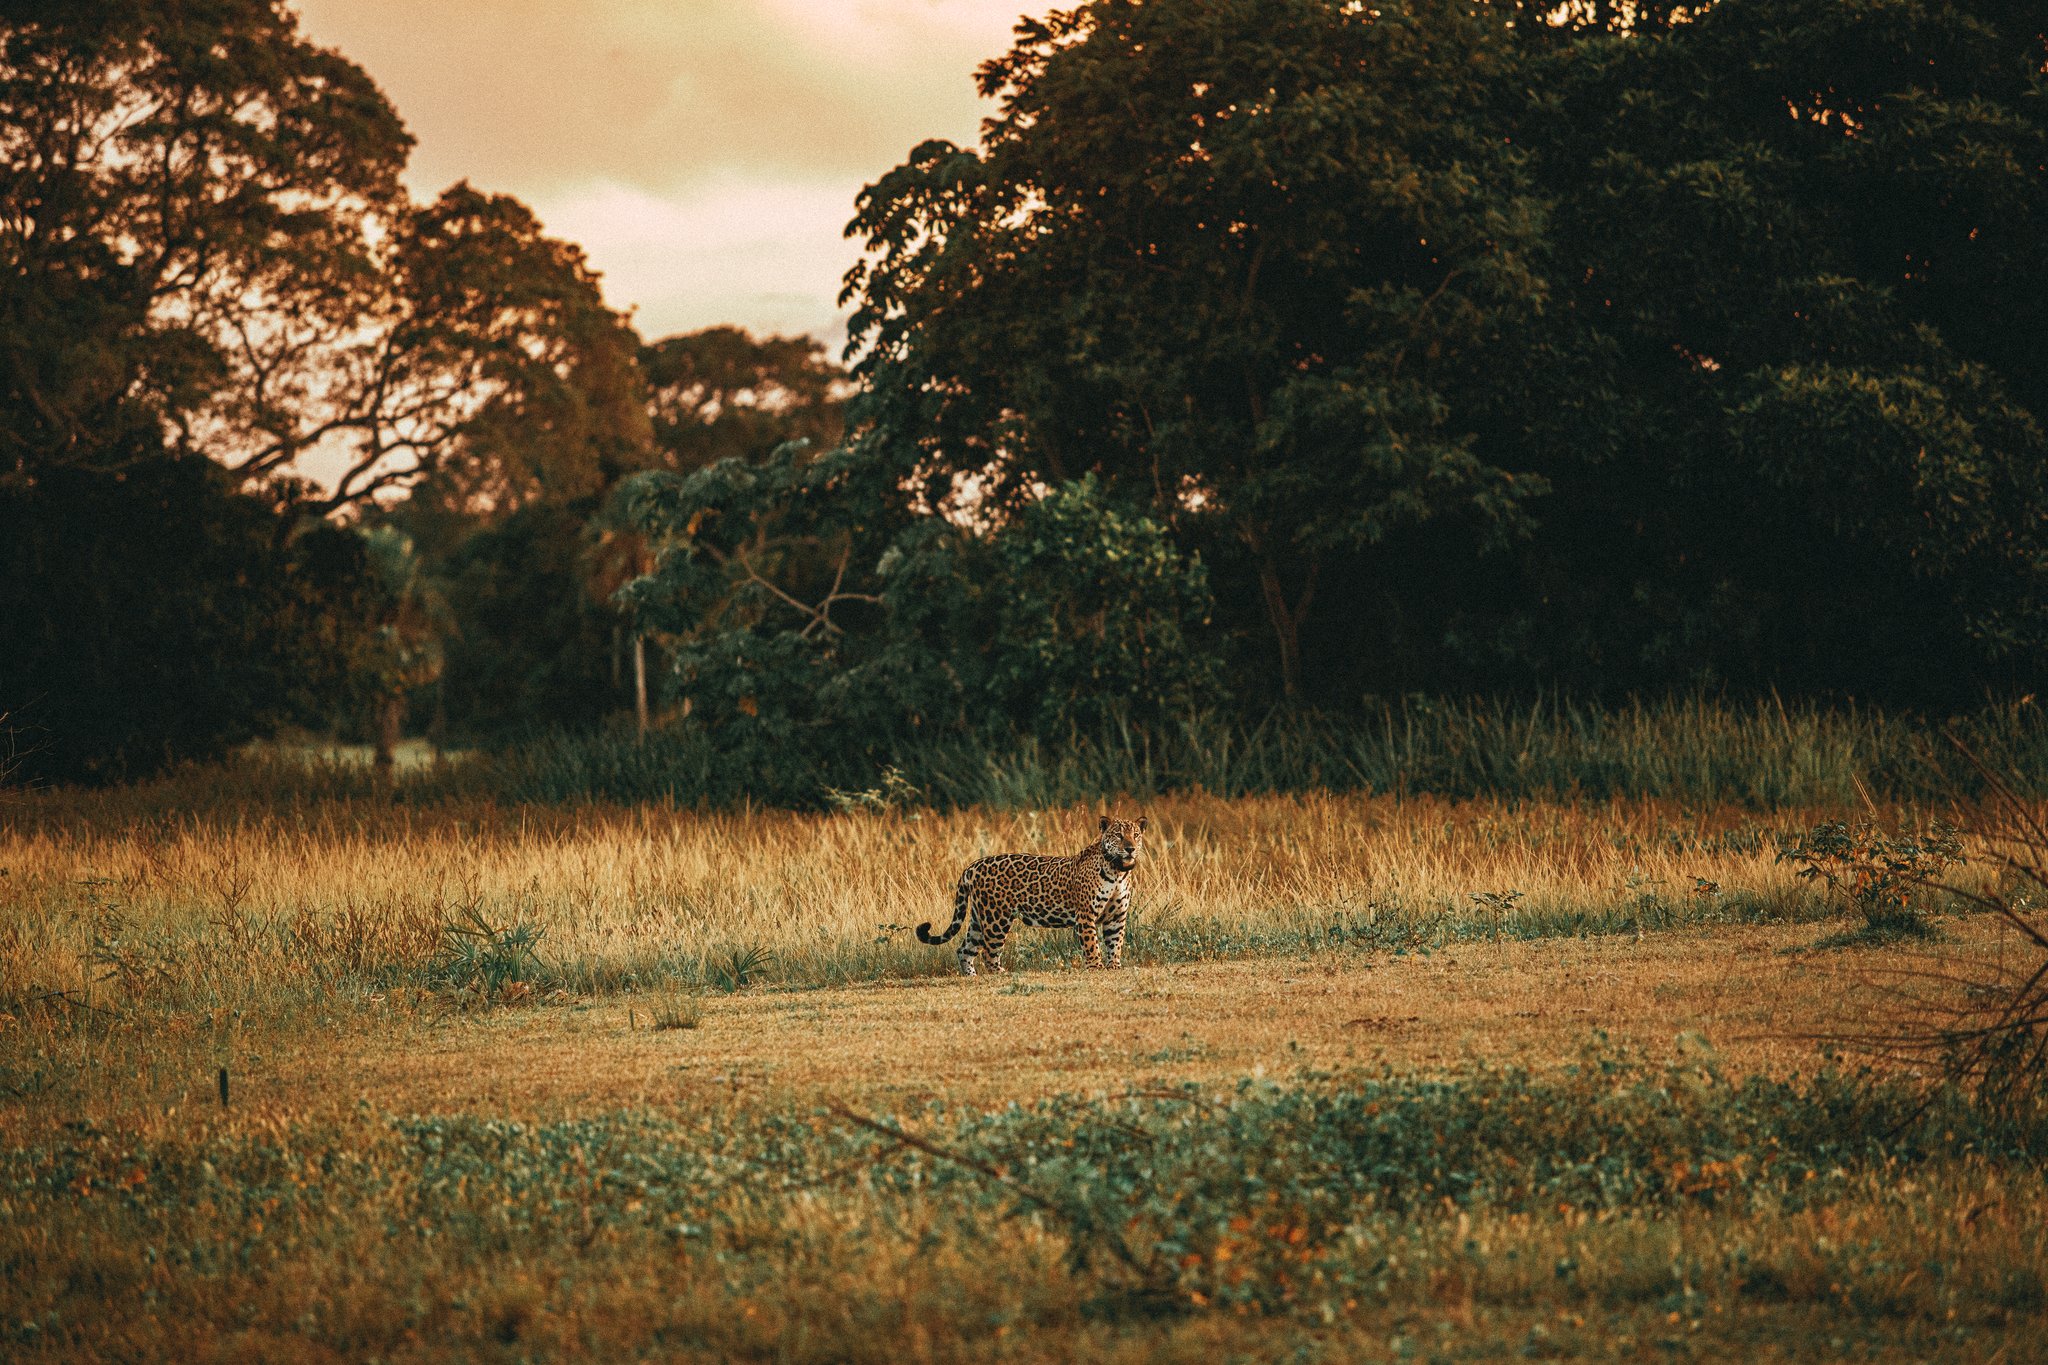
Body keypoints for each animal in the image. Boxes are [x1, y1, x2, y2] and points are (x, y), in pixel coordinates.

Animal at [918, 815, 1148, 975]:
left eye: (1136, 835)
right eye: (1118, 835)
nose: (1130, 848)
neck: (1118, 872)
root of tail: (972, 866)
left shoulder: (1116, 916)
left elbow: (1115, 942)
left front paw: (1114, 966)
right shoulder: (1086, 915)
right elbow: (1092, 943)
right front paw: (1096, 966)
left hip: (979, 918)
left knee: (964, 949)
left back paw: (971, 976)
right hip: (996, 919)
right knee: (988, 953)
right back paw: (1001, 974)